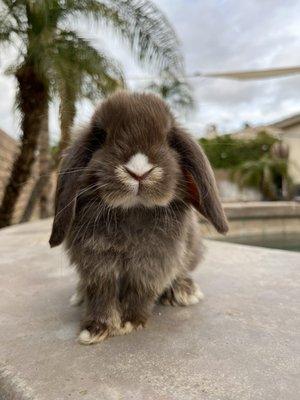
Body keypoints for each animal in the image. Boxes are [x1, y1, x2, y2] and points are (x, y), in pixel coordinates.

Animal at [49, 90, 227, 344]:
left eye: (168, 139)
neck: (132, 211)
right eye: (101, 137)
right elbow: (101, 292)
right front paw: (96, 328)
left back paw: (184, 291)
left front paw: (129, 321)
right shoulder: (96, 263)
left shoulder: (154, 262)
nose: (139, 172)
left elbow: (141, 290)